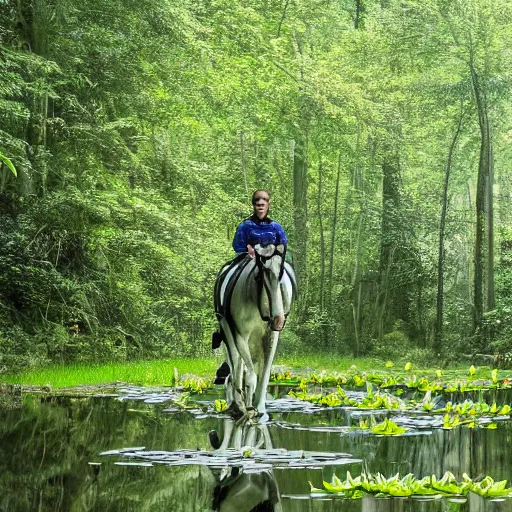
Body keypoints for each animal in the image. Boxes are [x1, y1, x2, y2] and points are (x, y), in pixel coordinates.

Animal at [214, 245, 296, 420]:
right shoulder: (239, 335)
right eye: (260, 276)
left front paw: (260, 410)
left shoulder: (270, 337)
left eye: (283, 275)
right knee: (236, 368)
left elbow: (264, 376)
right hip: (228, 333)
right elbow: (248, 374)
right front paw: (246, 408)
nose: (278, 320)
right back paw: (237, 404)